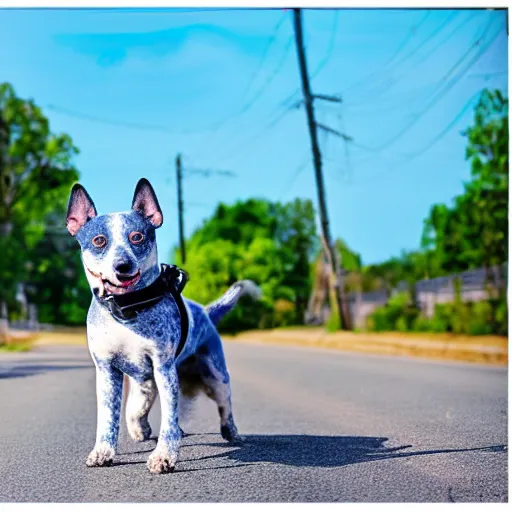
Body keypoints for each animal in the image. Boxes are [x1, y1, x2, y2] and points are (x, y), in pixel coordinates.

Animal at [66, 178, 260, 474]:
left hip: (215, 376)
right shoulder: (107, 370)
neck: (127, 312)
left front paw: (164, 456)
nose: (123, 265)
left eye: (137, 236)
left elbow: (169, 419)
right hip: (145, 383)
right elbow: (108, 419)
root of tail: (206, 312)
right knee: (136, 410)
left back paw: (232, 433)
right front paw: (103, 452)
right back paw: (140, 428)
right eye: (99, 240)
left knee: (223, 407)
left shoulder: (163, 368)